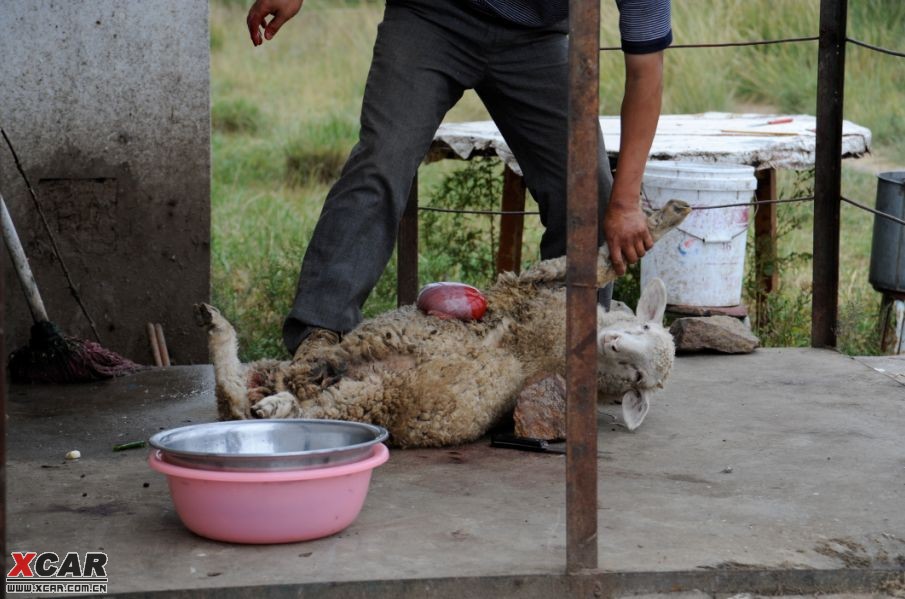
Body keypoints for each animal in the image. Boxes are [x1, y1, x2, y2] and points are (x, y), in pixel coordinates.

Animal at [198, 199, 688, 448]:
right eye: (644, 329)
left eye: (639, 377)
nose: (616, 344)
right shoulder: (543, 282)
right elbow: (600, 263)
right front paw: (670, 215)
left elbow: (600, 265)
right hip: (303, 373)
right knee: (238, 394)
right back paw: (225, 338)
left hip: (367, 398)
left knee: (256, 406)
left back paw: (258, 386)